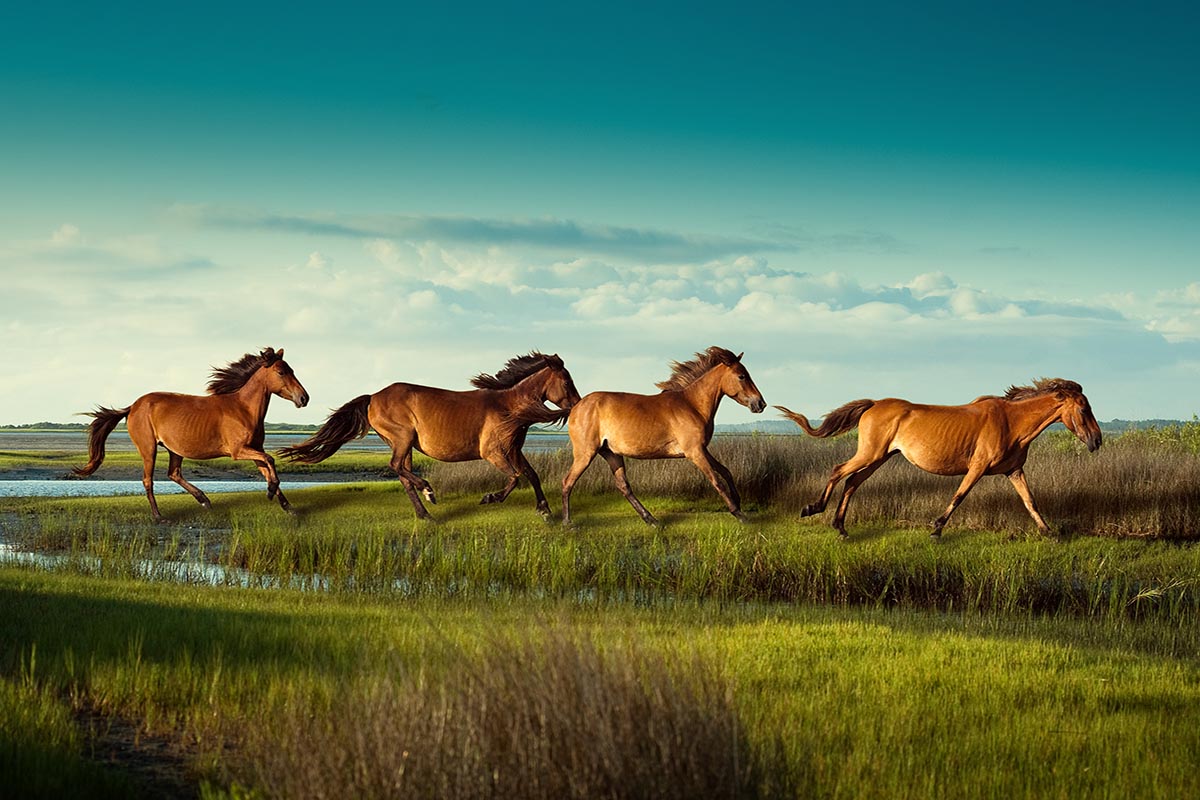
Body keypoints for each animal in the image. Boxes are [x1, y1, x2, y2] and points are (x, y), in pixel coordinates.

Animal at [74, 347, 310, 522]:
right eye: (281, 372)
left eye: (292, 370)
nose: (304, 398)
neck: (242, 409)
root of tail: (133, 406)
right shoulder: (239, 451)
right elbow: (271, 461)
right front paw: (270, 492)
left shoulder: (255, 450)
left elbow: (268, 468)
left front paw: (288, 507)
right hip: (149, 449)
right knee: (148, 480)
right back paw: (159, 516)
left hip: (174, 450)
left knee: (174, 473)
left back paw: (204, 500)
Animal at [278, 352, 580, 519]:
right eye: (567, 381)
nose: (577, 405)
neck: (507, 406)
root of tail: (373, 396)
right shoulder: (493, 452)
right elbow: (515, 477)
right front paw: (490, 498)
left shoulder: (514, 449)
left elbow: (531, 475)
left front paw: (544, 510)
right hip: (402, 439)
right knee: (397, 467)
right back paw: (429, 491)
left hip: (405, 444)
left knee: (403, 476)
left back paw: (426, 514)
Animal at [561, 346, 766, 526]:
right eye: (742, 376)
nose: (760, 404)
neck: (692, 405)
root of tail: (576, 407)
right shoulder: (695, 452)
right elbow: (717, 481)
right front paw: (739, 514)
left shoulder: (702, 449)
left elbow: (725, 471)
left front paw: (738, 502)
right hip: (585, 454)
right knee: (567, 481)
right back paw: (567, 523)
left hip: (611, 453)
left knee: (624, 486)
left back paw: (652, 520)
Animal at [775, 378, 1103, 539]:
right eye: (1084, 409)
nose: (1097, 441)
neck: (1011, 422)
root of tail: (874, 404)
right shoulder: (977, 467)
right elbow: (958, 496)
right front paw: (936, 530)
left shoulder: (1014, 471)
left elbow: (1030, 501)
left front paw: (1049, 533)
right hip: (871, 453)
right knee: (838, 470)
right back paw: (814, 508)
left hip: (880, 458)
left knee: (852, 482)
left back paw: (841, 528)